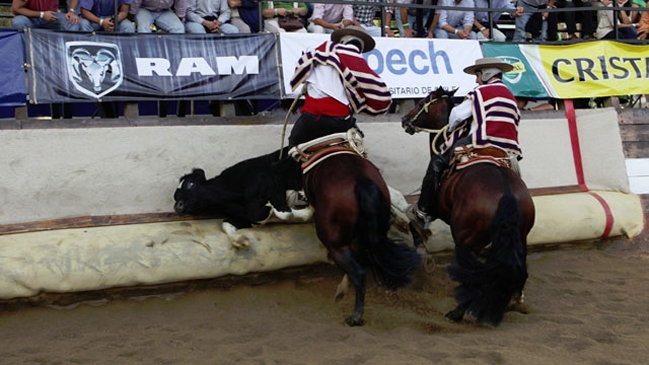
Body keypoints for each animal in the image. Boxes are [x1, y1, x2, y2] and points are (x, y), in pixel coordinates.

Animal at [298, 146, 420, 326]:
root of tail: (363, 183)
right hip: (372, 230)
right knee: (368, 254)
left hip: (336, 244)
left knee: (358, 272)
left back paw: (355, 315)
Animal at [402, 86, 536, 328]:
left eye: (423, 103)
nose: (404, 119)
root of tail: (507, 194)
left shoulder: (434, 207)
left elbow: (414, 220)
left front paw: (421, 249)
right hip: (520, 238)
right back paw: (514, 301)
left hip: (466, 239)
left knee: (473, 274)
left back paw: (457, 312)